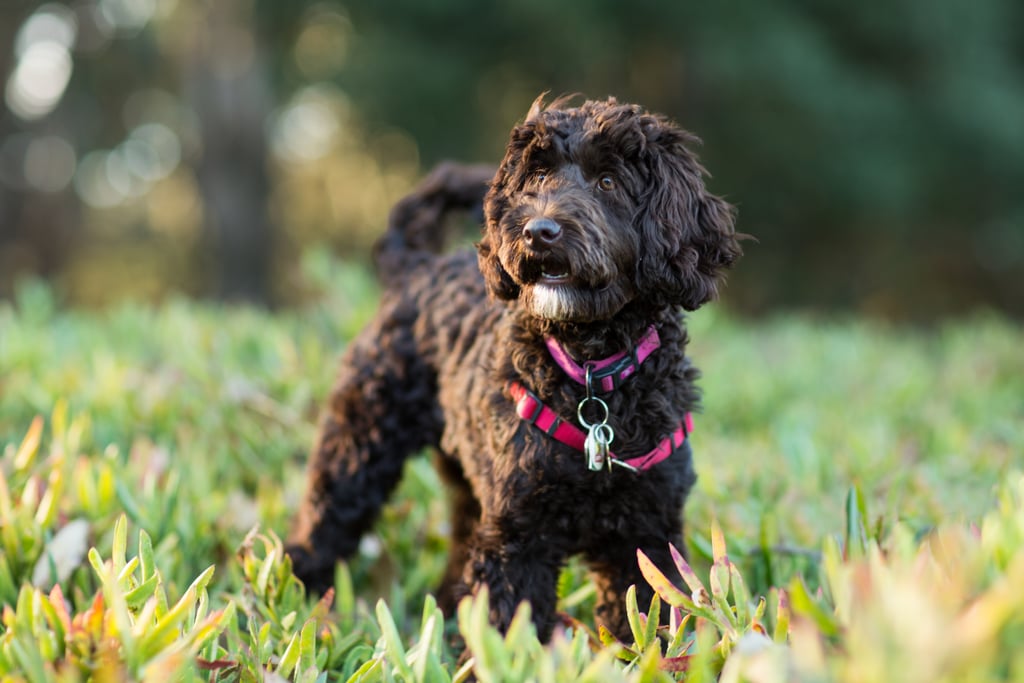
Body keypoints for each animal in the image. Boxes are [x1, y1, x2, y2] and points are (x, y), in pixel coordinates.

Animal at [284, 94, 741, 643]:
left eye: (609, 181)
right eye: (536, 178)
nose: (538, 231)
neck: (591, 372)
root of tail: (416, 267)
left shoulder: (647, 536)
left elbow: (644, 624)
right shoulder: (517, 537)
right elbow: (508, 631)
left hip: (467, 482)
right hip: (359, 445)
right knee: (325, 521)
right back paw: (292, 598)